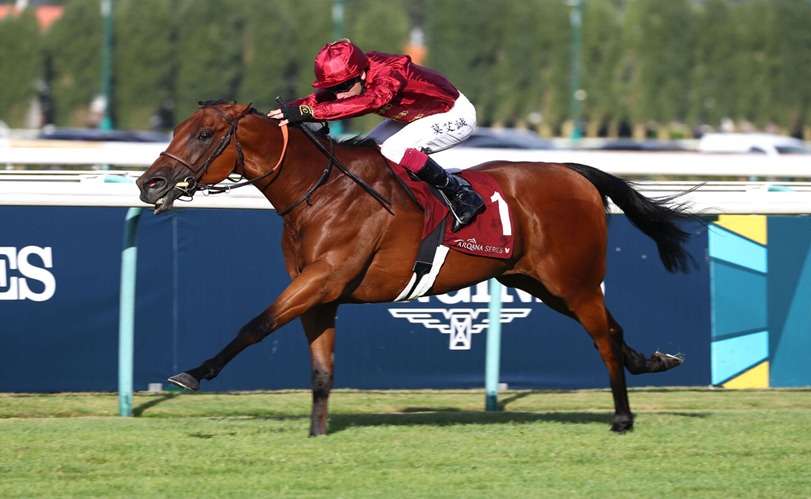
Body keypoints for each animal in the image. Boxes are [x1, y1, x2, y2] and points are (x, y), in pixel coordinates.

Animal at [137, 100, 695, 436]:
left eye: (205, 134)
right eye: (178, 129)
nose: (149, 183)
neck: (318, 192)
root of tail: (573, 172)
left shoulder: (324, 277)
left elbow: (255, 325)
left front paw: (193, 373)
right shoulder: (318, 293)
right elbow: (321, 370)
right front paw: (317, 433)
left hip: (573, 281)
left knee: (602, 338)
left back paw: (622, 417)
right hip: (540, 282)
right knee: (613, 329)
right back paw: (653, 363)